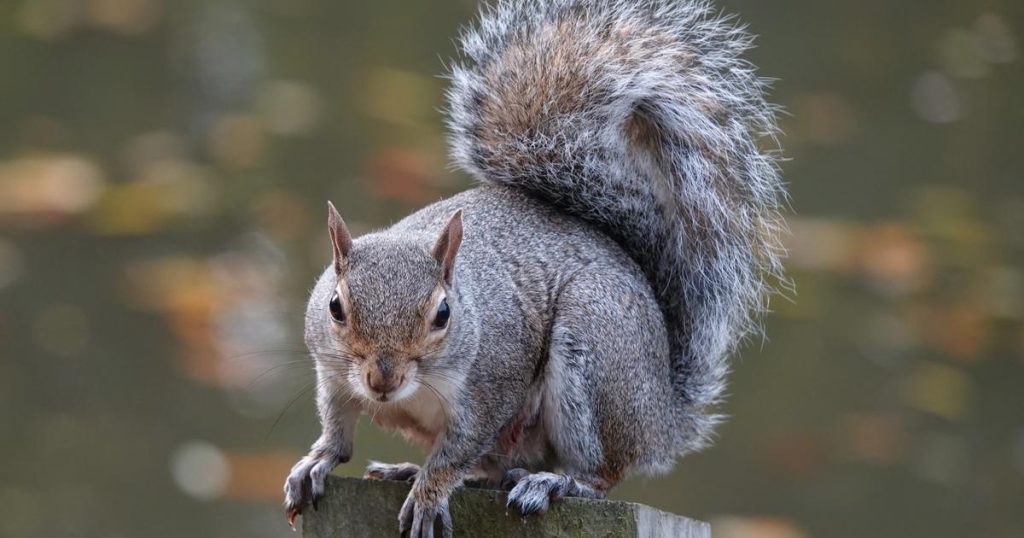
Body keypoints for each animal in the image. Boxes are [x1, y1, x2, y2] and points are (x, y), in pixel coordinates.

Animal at [280, 1, 782, 532]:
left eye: (443, 315)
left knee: (600, 472)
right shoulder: (332, 372)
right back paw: (410, 469)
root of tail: (663, 416)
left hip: (596, 344)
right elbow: (337, 427)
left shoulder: (493, 387)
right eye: (335, 307)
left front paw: (430, 494)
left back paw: (555, 483)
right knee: (492, 467)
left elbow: (456, 452)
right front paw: (319, 460)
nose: (382, 379)